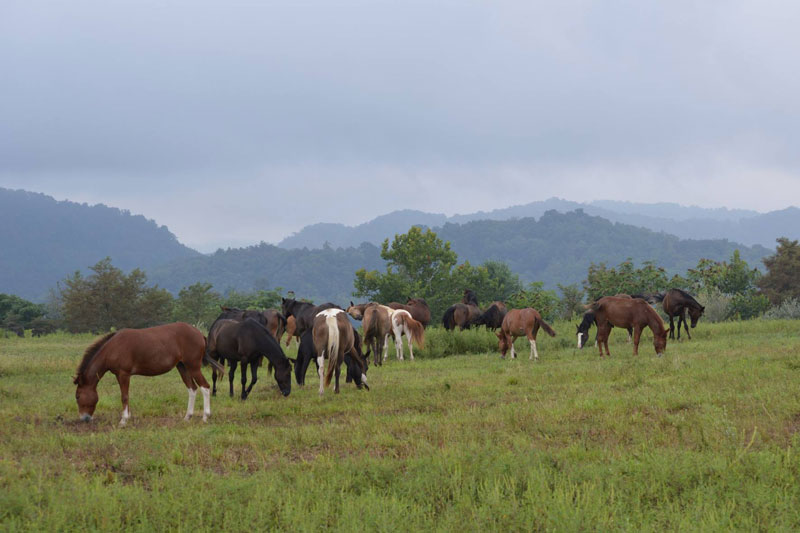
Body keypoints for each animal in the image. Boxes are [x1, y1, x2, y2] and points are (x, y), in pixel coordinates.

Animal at [72, 322, 225, 426]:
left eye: (78, 396)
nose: (84, 418)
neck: (113, 348)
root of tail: (199, 334)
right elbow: (126, 396)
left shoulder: (123, 374)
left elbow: (124, 397)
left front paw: (123, 420)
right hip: (182, 367)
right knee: (192, 389)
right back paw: (188, 416)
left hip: (193, 367)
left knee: (205, 387)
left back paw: (205, 417)